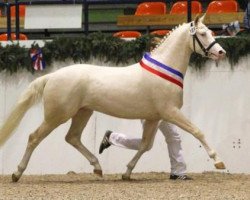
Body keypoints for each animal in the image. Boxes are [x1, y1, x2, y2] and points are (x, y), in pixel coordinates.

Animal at [0, 16, 227, 181]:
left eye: (211, 32)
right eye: (202, 34)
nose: (221, 52)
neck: (165, 69)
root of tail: (52, 76)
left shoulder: (154, 118)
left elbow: (145, 145)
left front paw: (127, 173)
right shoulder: (170, 112)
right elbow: (197, 131)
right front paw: (218, 162)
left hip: (83, 113)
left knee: (72, 137)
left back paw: (98, 168)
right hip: (57, 116)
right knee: (34, 137)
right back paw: (17, 173)